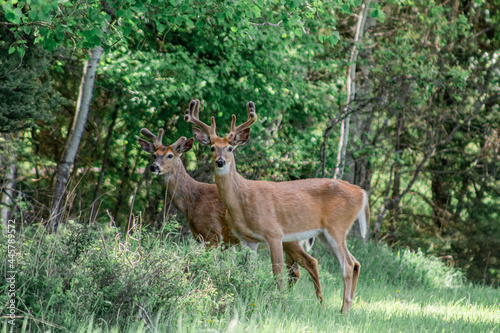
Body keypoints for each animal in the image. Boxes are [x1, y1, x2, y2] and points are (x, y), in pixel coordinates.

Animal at [138, 127, 324, 298]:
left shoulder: (213, 234)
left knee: (309, 263)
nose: (154, 167)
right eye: (154, 154)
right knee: (294, 270)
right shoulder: (215, 240)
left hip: (290, 238)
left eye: (170, 155)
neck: (192, 201)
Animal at [186, 98, 370, 312]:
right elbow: (248, 271)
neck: (242, 201)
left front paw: (280, 303)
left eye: (230, 148)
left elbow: (277, 273)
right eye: (212, 147)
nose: (220, 162)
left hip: (337, 227)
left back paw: (345, 311)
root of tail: (362, 193)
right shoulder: (248, 240)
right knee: (355, 263)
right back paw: (344, 309)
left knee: (347, 265)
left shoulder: (274, 233)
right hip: (325, 234)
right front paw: (248, 298)